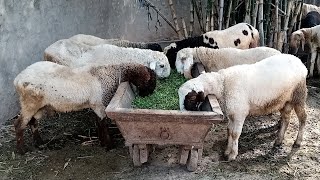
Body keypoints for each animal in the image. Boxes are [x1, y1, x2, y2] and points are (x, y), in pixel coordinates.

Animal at [13, 61, 157, 154]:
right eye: (151, 81)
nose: (149, 95)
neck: (112, 74)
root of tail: (17, 79)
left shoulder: (95, 105)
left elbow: (98, 123)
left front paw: (102, 142)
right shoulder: (98, 104)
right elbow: (102, 123)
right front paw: (109, 145)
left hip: (39, 106)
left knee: (32, 122)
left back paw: (39, 143)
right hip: (29, 103)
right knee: (19, 124)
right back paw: (21, 150)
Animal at [179, 53, 308, 160]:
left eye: (191, 98)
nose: (184, 114)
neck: (223, 84)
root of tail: (300, 62)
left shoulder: (239, 113)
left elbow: (235, 133)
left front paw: (232, 155)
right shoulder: (232, 113)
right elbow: (229, 131)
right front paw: (227, 151)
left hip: (299, 95)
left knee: (303, 118)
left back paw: (297, 142)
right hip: (285, 100)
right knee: (286, 119)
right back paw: (278, 140)